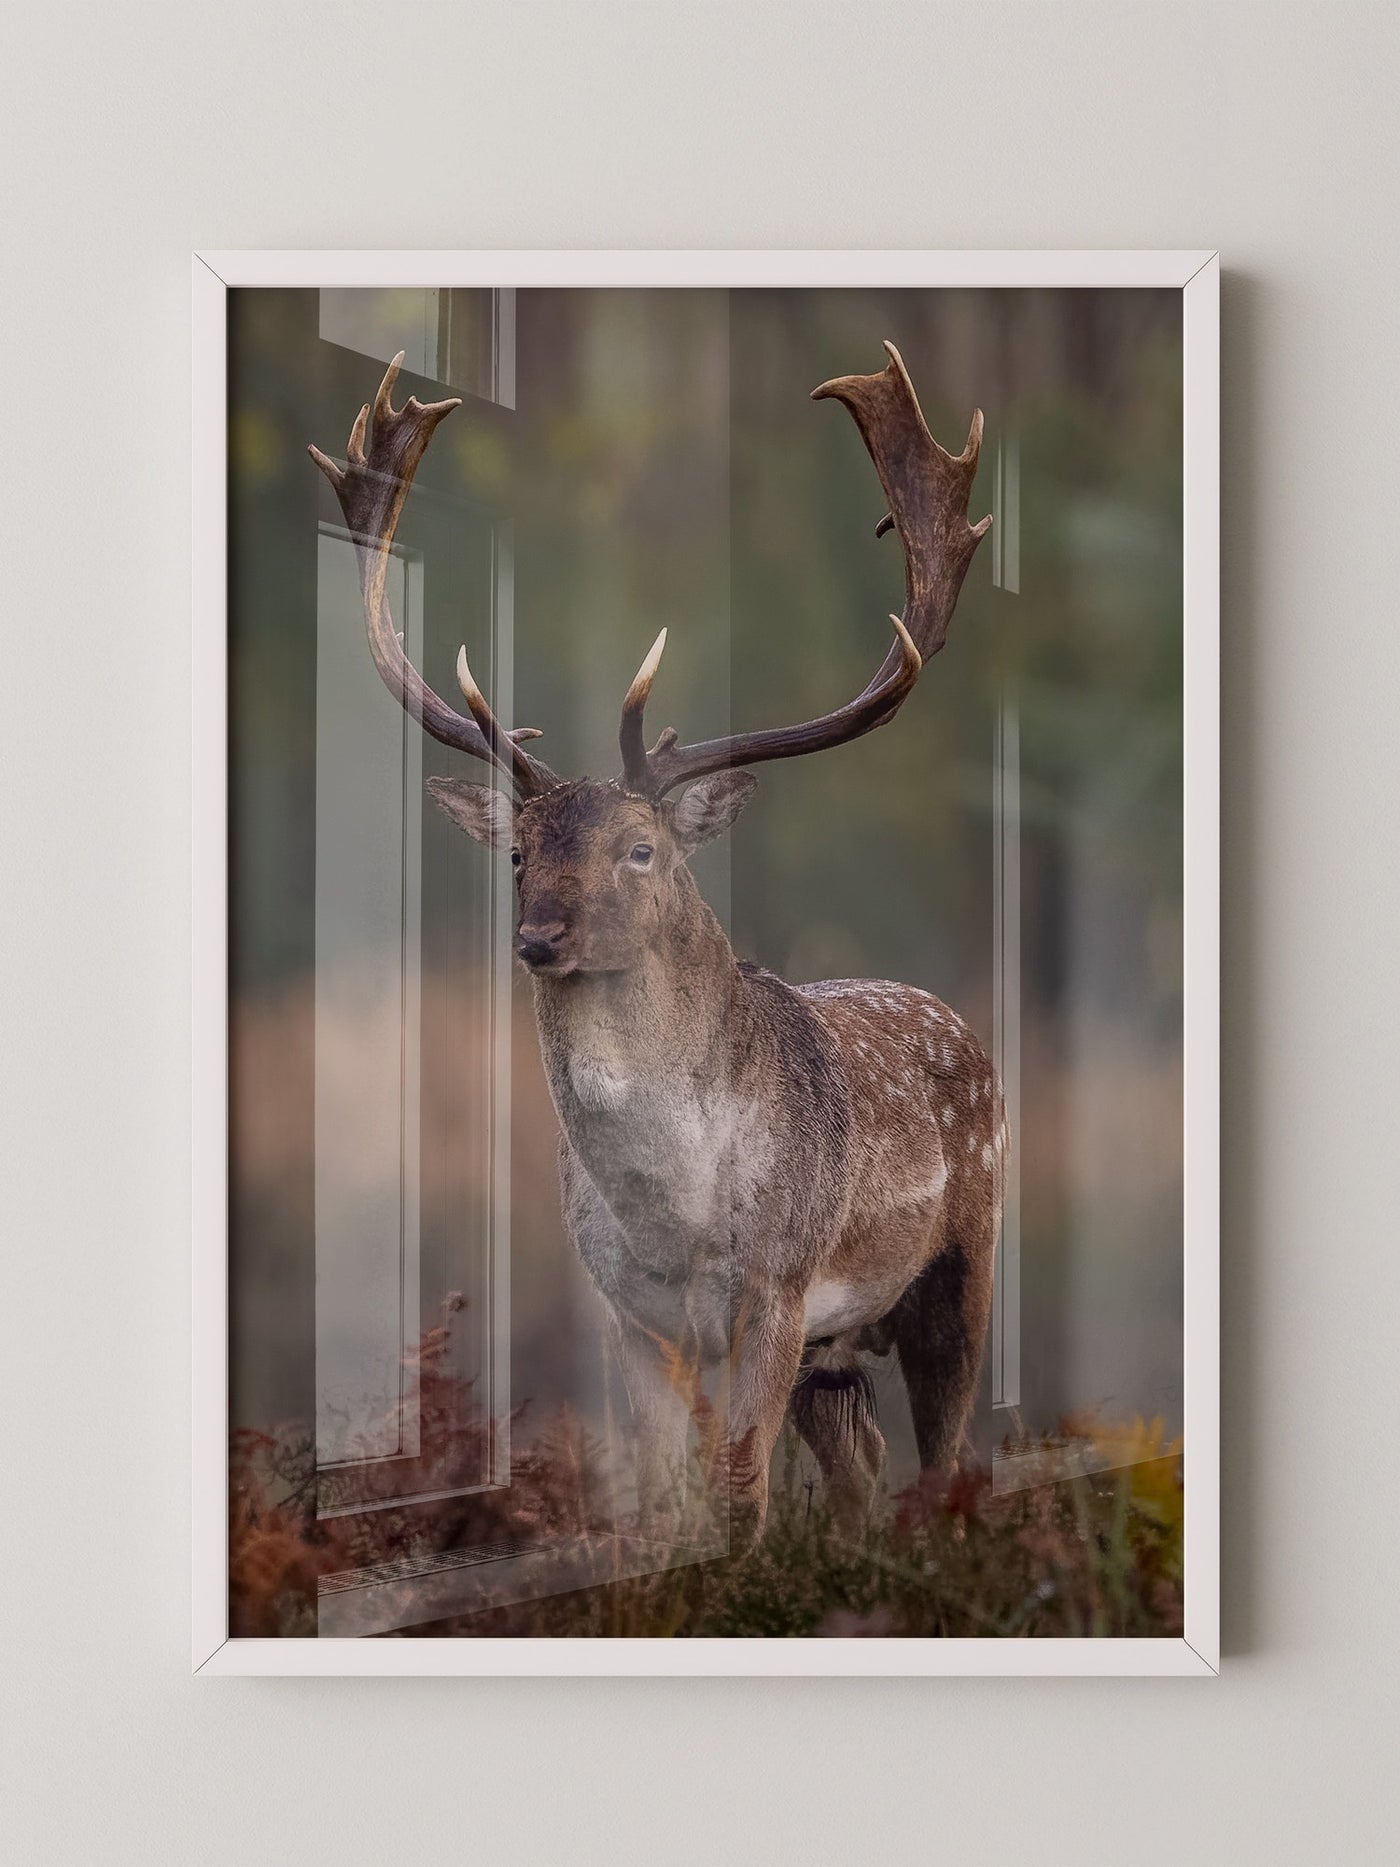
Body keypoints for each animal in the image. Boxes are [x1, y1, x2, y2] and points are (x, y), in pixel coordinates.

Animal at [310, 340, 1006, 1548]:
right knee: (861, 1464)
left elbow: (738, 1486)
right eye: (517, 852)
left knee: (946, 1463)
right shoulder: (627, 1312)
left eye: (641, 848)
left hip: (961, 1262)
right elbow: (662, 1489)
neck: (673, 1214)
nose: (540, 935)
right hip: (837, 1350)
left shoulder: (777, 1284)